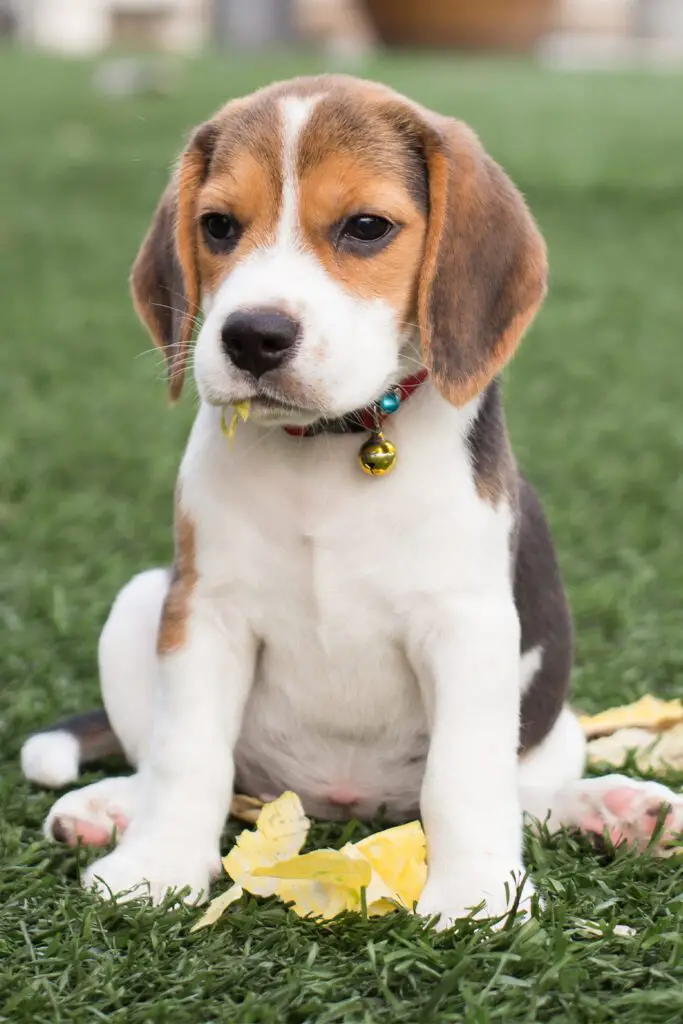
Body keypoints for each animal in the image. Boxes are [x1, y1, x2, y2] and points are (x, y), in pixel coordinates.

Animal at [21, 74, 683, 929]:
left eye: (366, 228)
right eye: (217, 226)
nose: (252, 336)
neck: (330, 448)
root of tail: (346, 804)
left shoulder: (468, 626)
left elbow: (464, 780)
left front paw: (474, 897)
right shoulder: (205, 613)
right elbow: (187, 755)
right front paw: (156, 866)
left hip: (550, 712)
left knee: (524, 792)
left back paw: (614, 810)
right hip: (143, 599)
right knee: (195, 773)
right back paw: (111, 809)